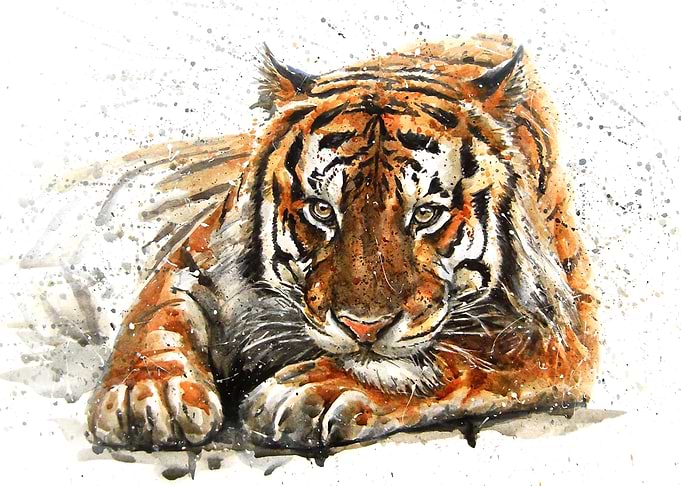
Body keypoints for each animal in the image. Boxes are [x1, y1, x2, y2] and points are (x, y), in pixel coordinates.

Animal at [86, 34, 599, 452]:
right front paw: (147, 393)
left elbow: (457, 355)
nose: (363, 329)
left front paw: (314, 390)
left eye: (426, 214)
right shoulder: (196, 255)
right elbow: (156, 315)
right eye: (322, 210)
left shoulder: (558, 329)